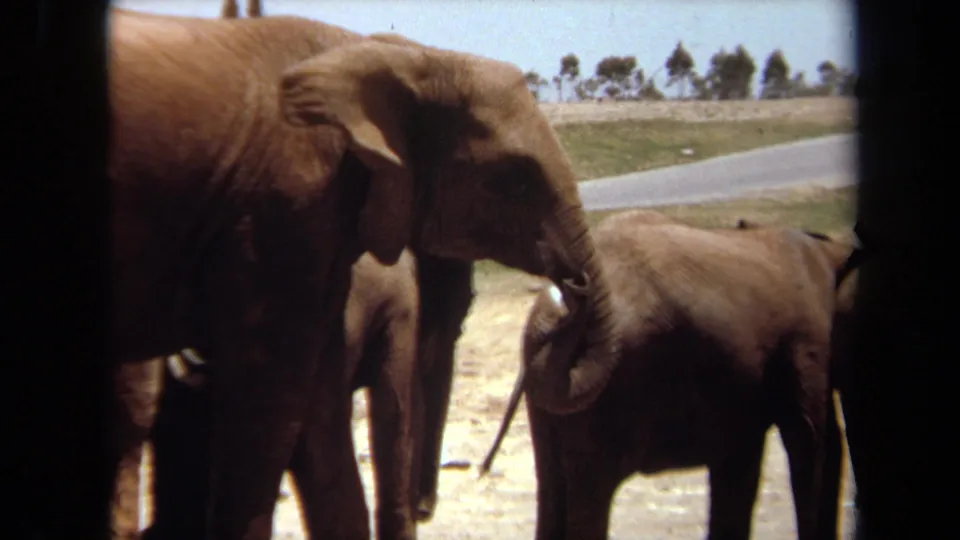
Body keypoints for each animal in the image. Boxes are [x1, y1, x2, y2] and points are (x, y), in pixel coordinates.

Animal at [109, 6, 617, 538]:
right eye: (517, 181)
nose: (572, 288)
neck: (401, 55)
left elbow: (318, 416)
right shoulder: (282, 209)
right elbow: (270, 406)